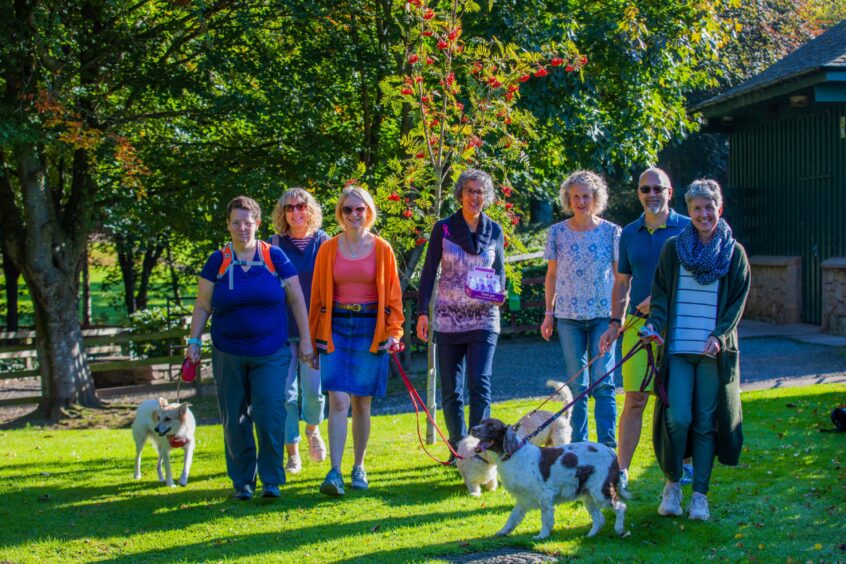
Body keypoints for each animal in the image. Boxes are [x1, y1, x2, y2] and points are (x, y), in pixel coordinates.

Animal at [470, 416, 628, 540]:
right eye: (481, 422)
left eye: (491, 426)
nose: (472, 429)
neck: (513, 454)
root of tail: (611, 453)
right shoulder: (523, 498)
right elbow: (512, 518)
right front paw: (502, 532)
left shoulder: (544, 495)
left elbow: (546, 518)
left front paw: (542, 536)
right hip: (588, 495)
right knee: (599, 518)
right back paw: (590, 535)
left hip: (601, 491)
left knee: (620, 507)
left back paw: (620, 530)